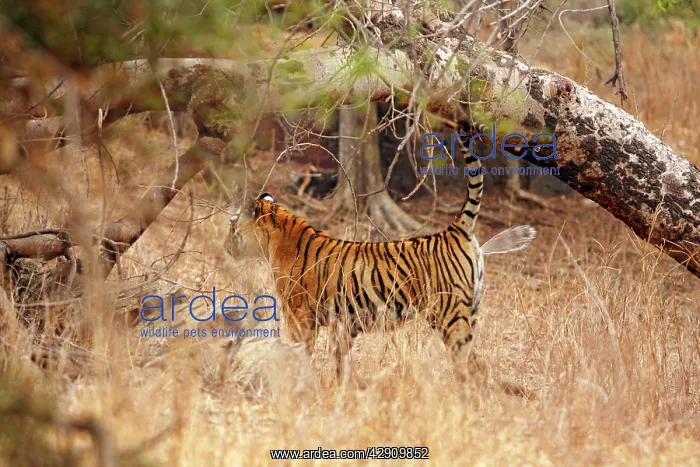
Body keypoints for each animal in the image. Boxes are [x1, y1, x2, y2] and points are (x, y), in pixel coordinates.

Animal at [224, 152, 536, 380]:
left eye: (232, 225)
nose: (225, 245)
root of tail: (455, 229)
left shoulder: (299, 316)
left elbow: (302, 352)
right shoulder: (343, 324)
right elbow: (340, 360)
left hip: (448, 314)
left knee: (471, 363)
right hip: (471, 311)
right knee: (478, 362)